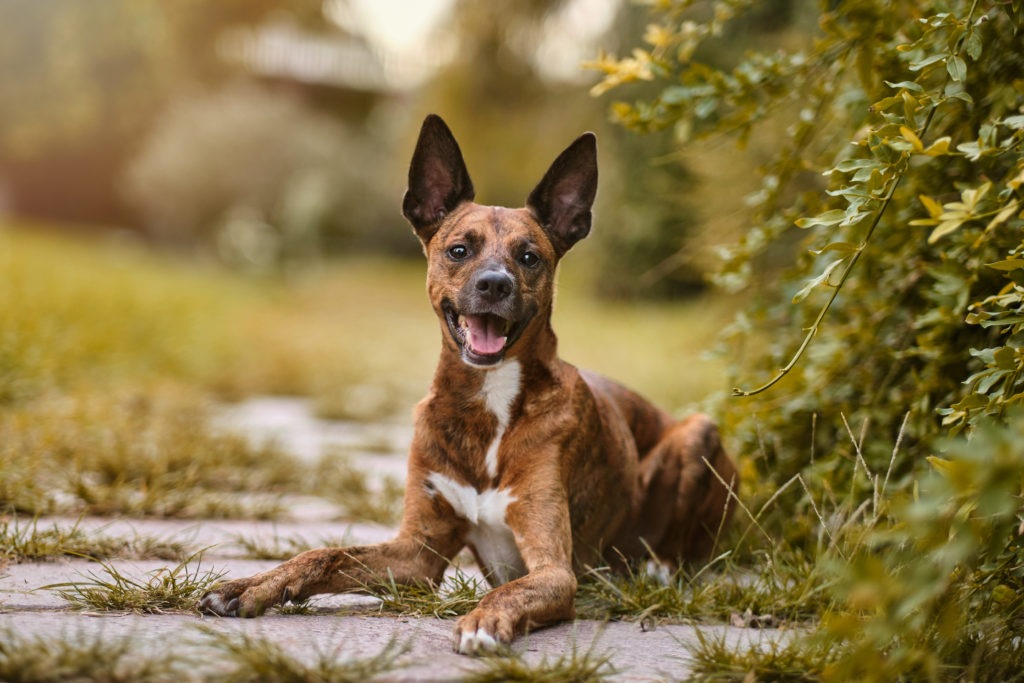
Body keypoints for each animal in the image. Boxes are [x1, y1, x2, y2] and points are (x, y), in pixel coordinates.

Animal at [199, 114, 741, 655]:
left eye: (529, 257)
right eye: (459, 250)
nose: (494, 284)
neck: (488, 403)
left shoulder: (554, 569)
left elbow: (512, 587)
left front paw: (484, 619)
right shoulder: (416, 555)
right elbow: (325, 553)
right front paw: (251, 585)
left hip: (699, 433)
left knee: (681, 552)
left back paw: (656, 572)